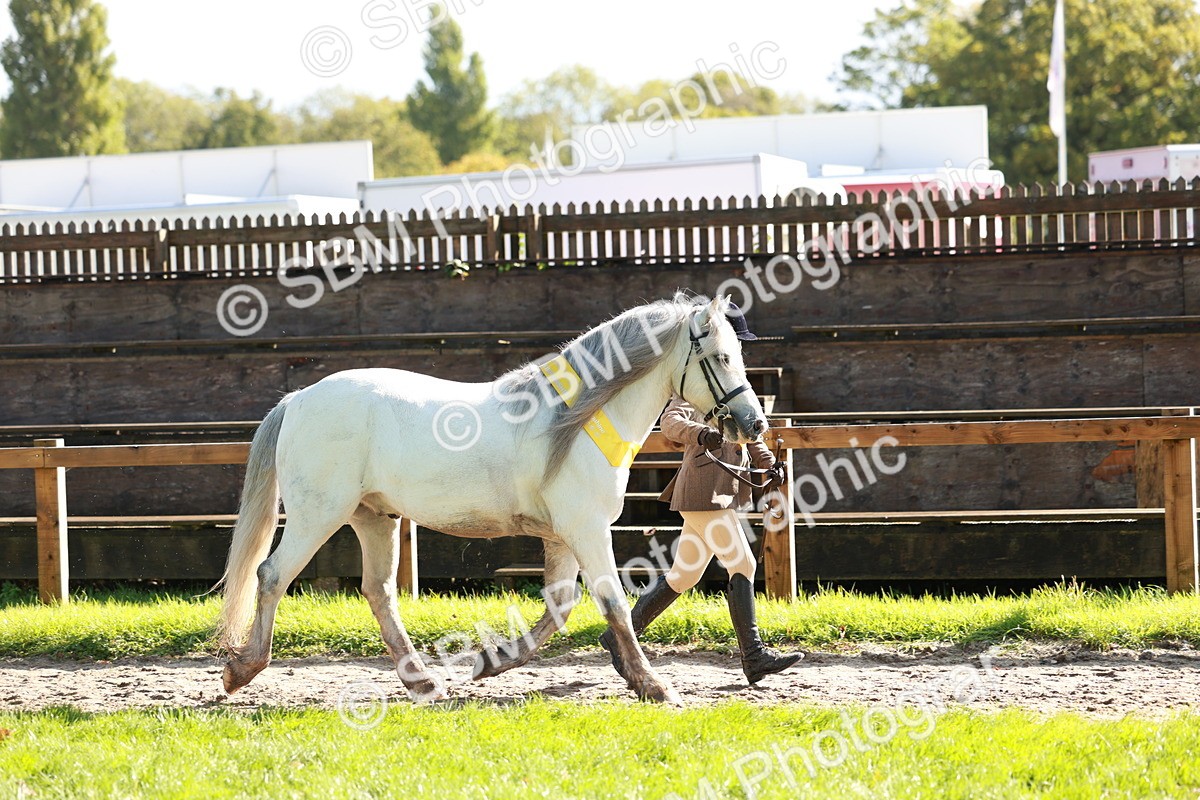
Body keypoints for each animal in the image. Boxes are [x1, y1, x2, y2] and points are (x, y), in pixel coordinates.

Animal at [216, 293, 769, 704]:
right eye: (720, 357)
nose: (755, 424)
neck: (574, 424)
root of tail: (297, 400)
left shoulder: (562, 535)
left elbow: (561, 606)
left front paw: (490, 662)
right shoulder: (587, 529)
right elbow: (610, 599)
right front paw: (655, 686)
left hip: (374, 517)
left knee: (379, 591)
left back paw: (424, 682)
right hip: (318, 514)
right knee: (272, 575)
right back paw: (241, 670)